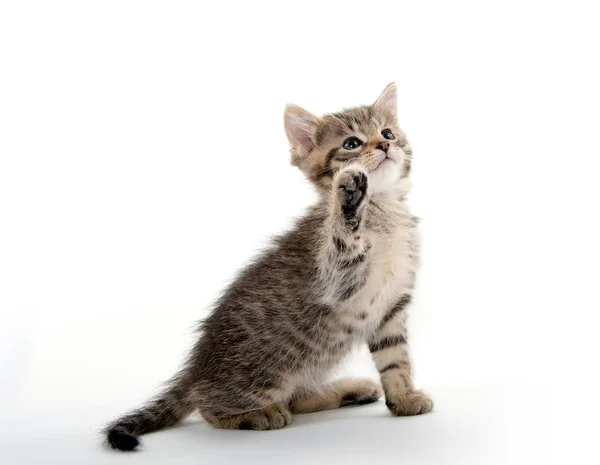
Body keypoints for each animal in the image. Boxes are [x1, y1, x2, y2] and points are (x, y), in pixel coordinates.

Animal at [103, 82, 432, 450]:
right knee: (210, 407)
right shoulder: (336, 278)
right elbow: (344, 238)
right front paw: (347, 197)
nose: (386, 145)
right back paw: (257, 414)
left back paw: (349, 390)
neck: (384, 210)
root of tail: (196, 370)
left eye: (387, 133)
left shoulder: (392, 307)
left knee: (296, 397)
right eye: (352, 144)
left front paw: (403, 398)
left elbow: (396, 359)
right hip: (270, 371)